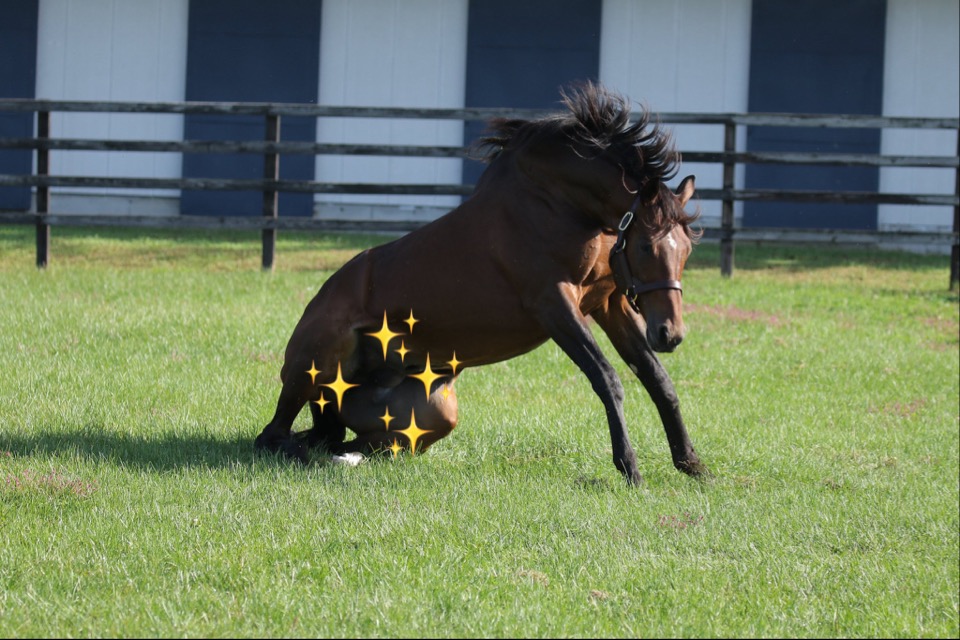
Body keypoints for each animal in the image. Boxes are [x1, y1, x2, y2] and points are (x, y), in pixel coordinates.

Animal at [254, 82, 708, 484]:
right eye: (646, 246)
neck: (558, 203)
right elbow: (607, 379)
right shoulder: (554, 304)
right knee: (273, 436)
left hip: (431, 411)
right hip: (313, 367)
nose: (669, 333)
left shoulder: (608, 303)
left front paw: (692, 464)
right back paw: (305, 454)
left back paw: (344, 456)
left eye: (686, 250)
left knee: (349, 440)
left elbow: (658, 381)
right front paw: (630, 467)